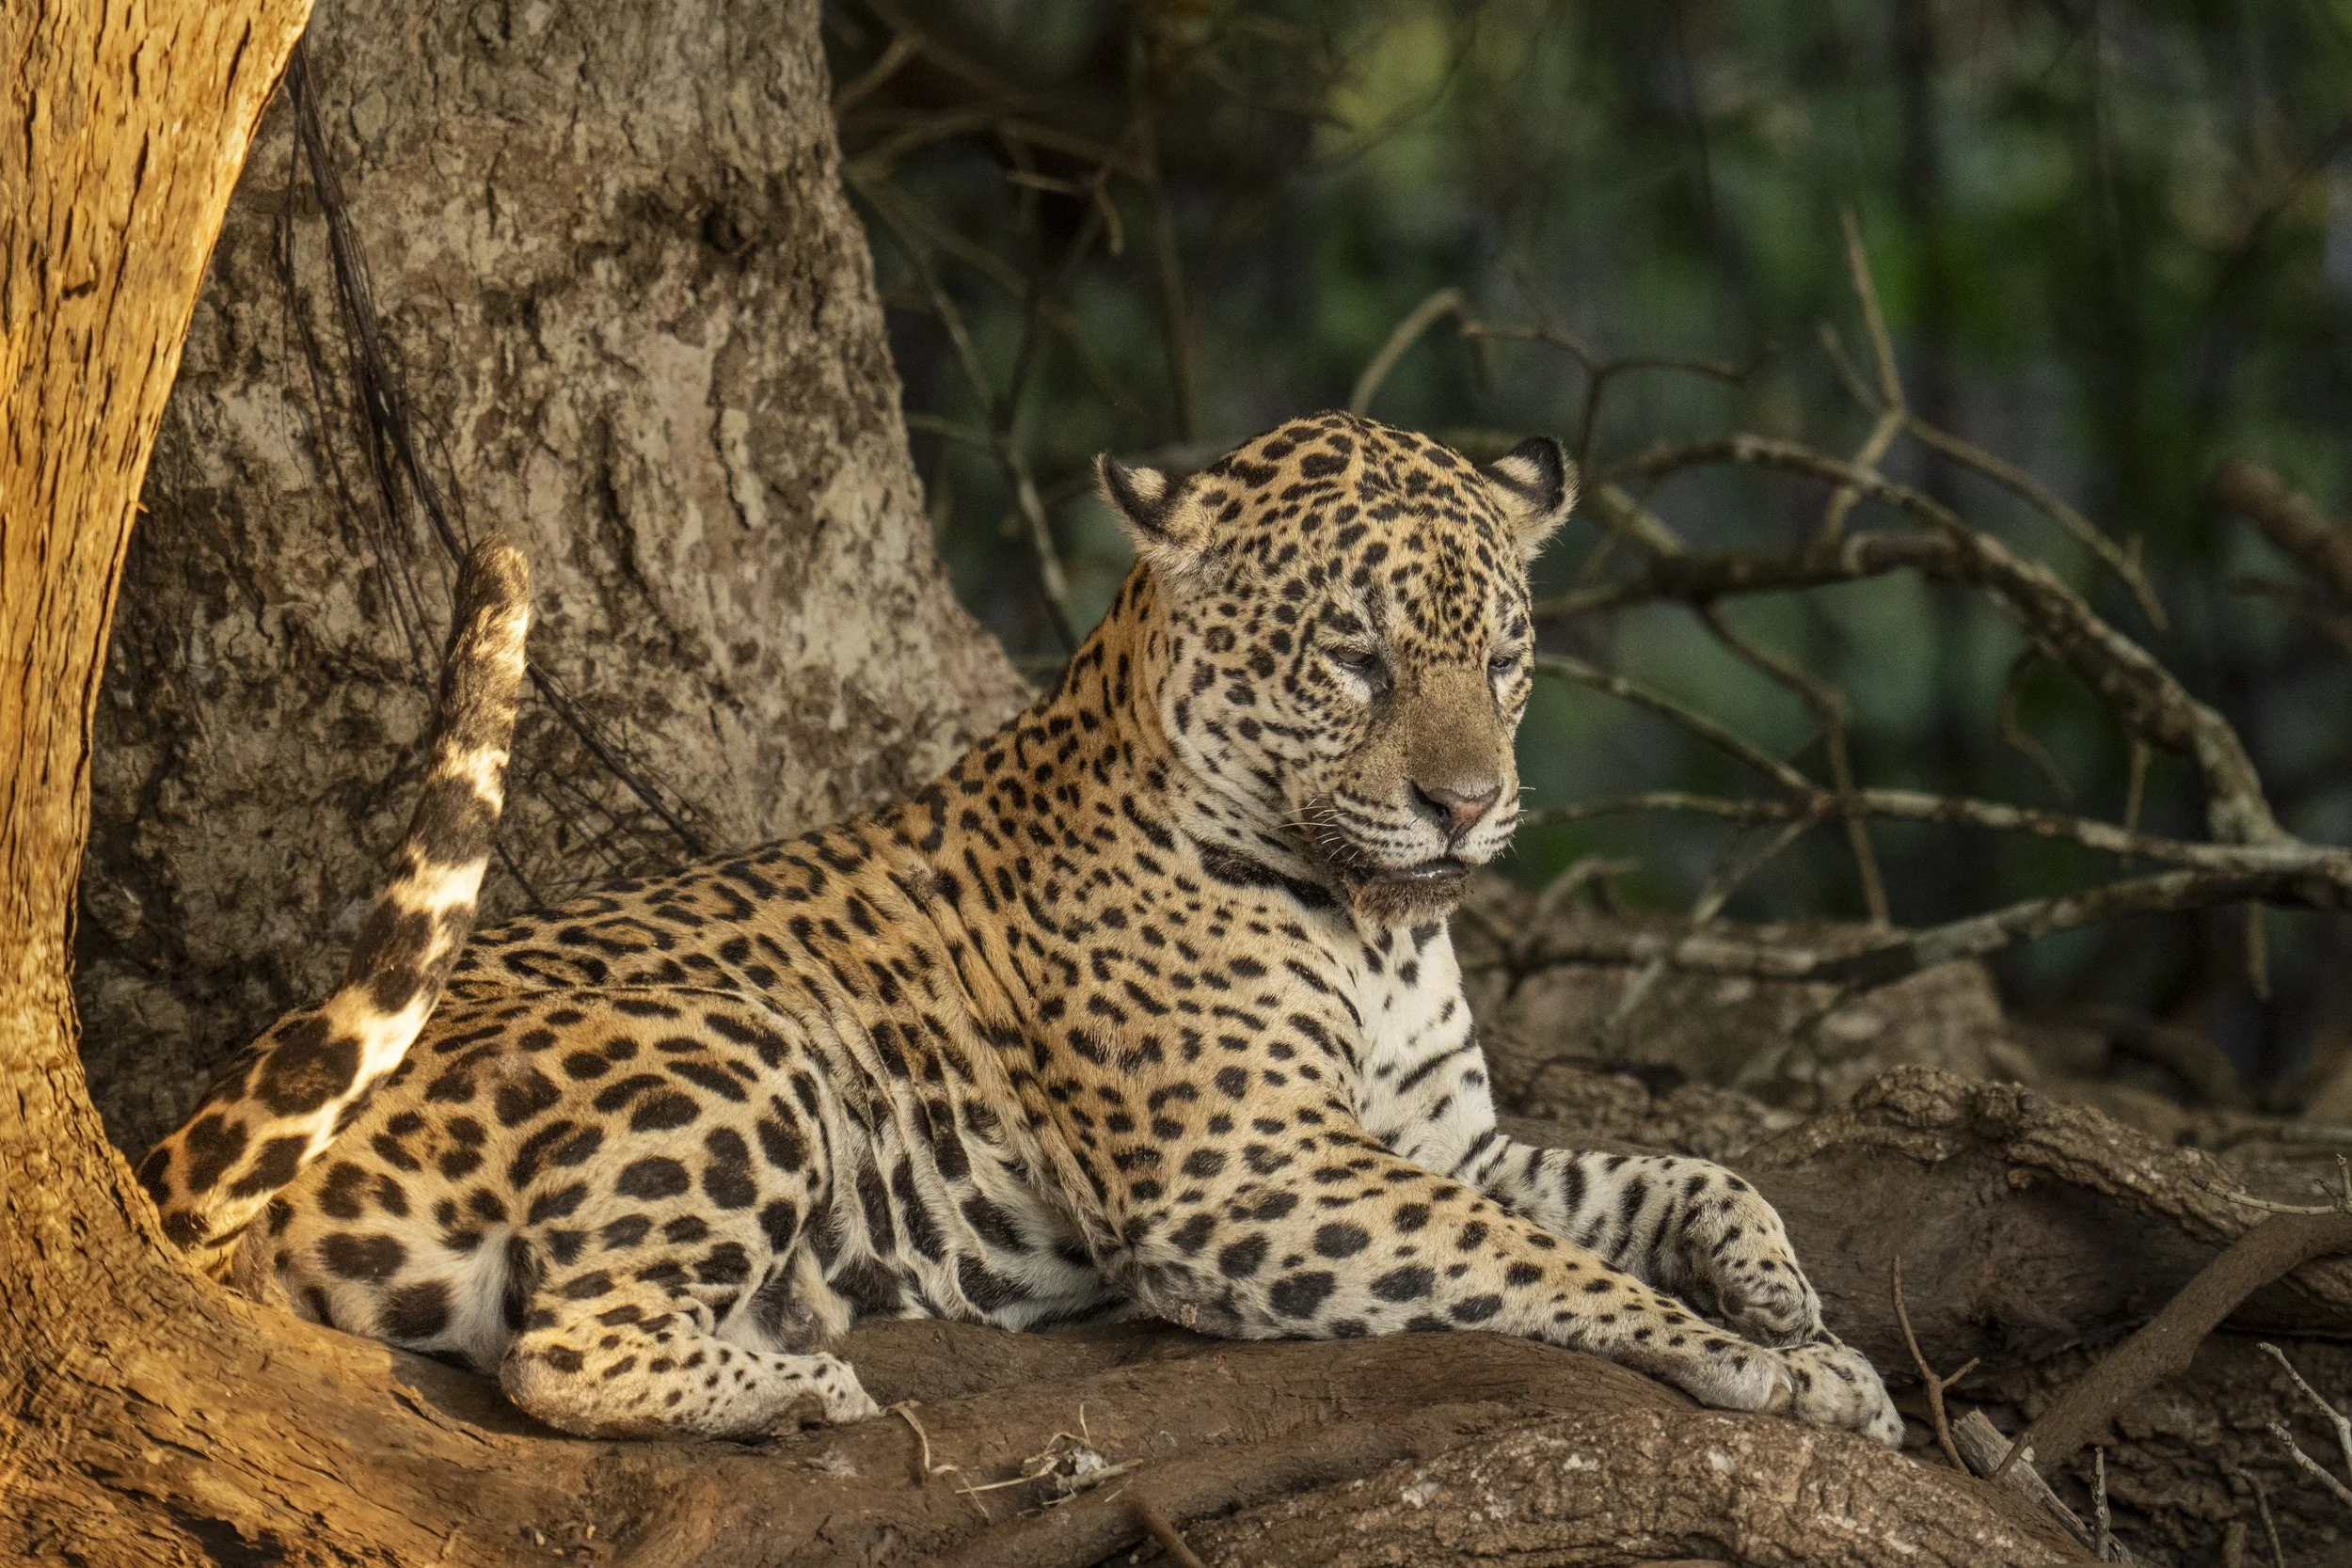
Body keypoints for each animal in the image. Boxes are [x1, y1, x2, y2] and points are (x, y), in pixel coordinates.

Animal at [140, 412, 1902, 1447]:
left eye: (1508, 654)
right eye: (1355, 655)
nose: (1470, 807)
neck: (1377, 931)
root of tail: (194, 1116)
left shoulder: (1431, 1138)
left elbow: (1676, 1173)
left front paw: (1797, 1316)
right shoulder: (1242, 1175)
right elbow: (1524, 1252)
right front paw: (1747, 1355)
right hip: (737, 1045)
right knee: (557, 1346)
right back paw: (798, 1384)